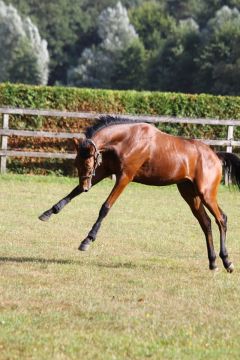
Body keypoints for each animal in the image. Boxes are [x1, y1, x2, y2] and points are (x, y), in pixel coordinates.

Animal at [39, 116, 240, 272]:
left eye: (88, 164)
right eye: (76, 163)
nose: (86, 186)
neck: (126, 139)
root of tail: (215, 155)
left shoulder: (124, 177)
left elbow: (105, 207)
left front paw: (87, 240)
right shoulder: (104, 171)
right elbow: (74, 192)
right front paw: (48, 213)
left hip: (206, 194)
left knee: (221, 219)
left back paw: (227, 261)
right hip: (191, 195)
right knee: (206, 223)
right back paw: (213, 263)